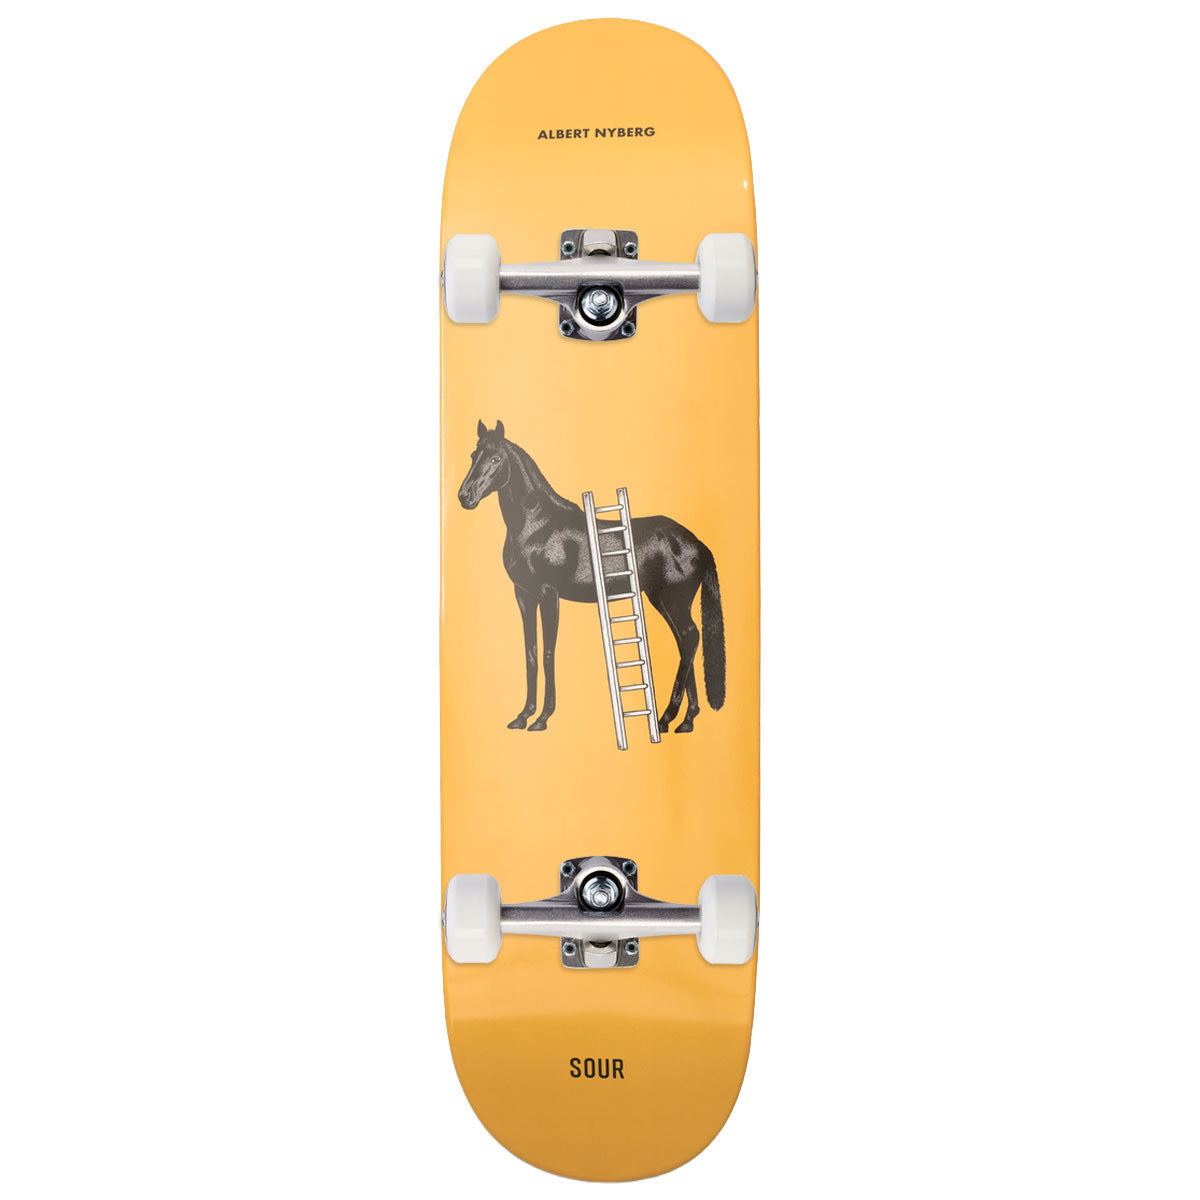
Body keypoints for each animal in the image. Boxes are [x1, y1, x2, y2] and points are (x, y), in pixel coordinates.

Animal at [457, 420, 726, 734]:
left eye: (496, 458)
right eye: (474, 456)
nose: (465, 497)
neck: (537, 526)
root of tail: (699, 543)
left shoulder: (548, 594)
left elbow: (548, 654)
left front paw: (542, 718)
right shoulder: (523, 595)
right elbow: (531, 655)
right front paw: (523, 716)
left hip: (672, 600)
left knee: (690, 639)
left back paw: (666, 717)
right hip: (663, 600)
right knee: (686, 641)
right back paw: (685, 720)